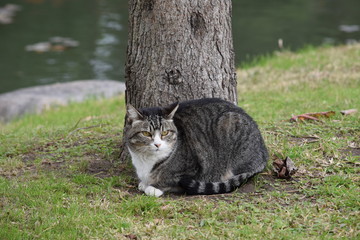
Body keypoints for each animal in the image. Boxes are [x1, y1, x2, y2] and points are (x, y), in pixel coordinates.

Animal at [124, 98, 268, 197]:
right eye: (146, 134)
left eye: (165, 133)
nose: (158, 144)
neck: (146, 161)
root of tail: (264, 153)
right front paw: (144, 183)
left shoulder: (193, 172)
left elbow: (169, 181)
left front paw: (152, 187)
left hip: (230, 123)